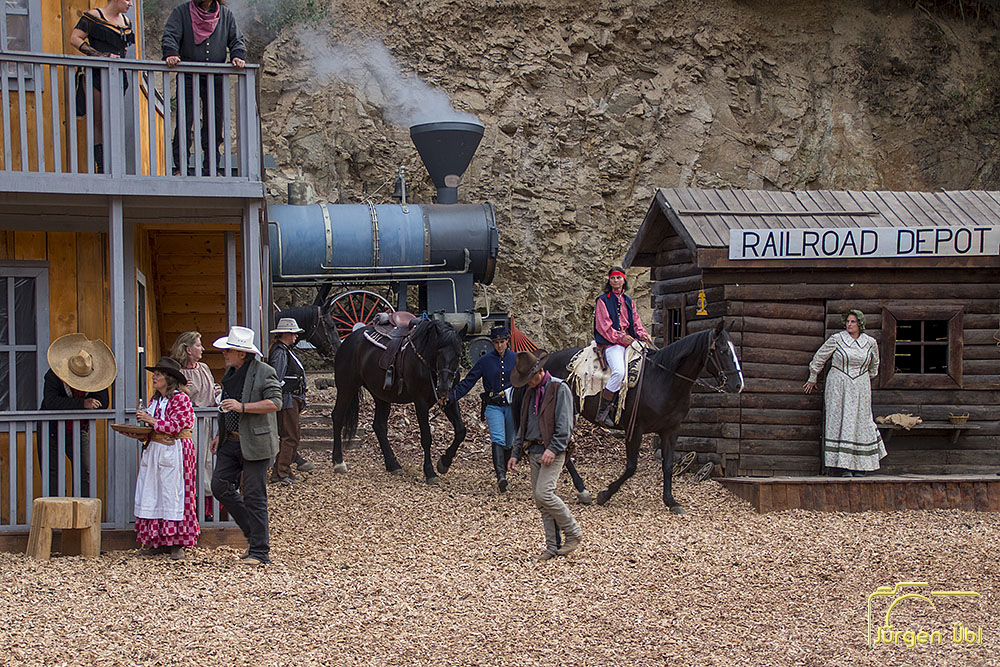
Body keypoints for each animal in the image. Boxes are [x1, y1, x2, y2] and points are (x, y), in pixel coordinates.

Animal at [331, 317, 468, 484]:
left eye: (458, 354)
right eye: (439, 353)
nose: (443, 387)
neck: (425, 358)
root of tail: (347, 342)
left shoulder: (450, 399)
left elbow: (461, 430)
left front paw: (444, 462)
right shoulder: (420, 402)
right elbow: (426, 437)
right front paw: (430, 472)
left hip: (381, 396)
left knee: (379, 426)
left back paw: (393, 464)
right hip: (347, 387)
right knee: (338, 417)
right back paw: (339, 462)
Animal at [545, 320, 743, 513]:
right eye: (723, 350)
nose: (738, 385)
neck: (663, 379)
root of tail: (546, 361)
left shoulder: (671, 430)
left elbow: (668, 465)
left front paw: (671, 501)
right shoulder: (635, 429)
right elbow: (632, 467)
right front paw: (605, 494)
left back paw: (580, 489)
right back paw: (581, 489)